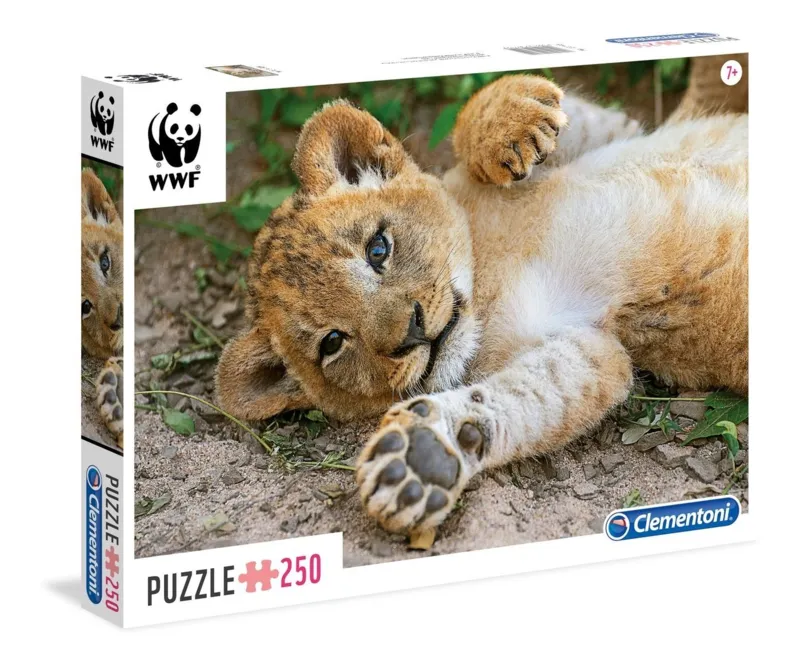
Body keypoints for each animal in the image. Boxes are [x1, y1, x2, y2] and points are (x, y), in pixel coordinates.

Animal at [216, 57, 748, 536]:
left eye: (377, 249)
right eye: (331, 343)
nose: (411, 331)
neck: (487, 263)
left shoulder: (619, 134)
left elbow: (484, 117)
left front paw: (515, 119)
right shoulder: (595, 350)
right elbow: (532, 395)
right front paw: (426, 456)